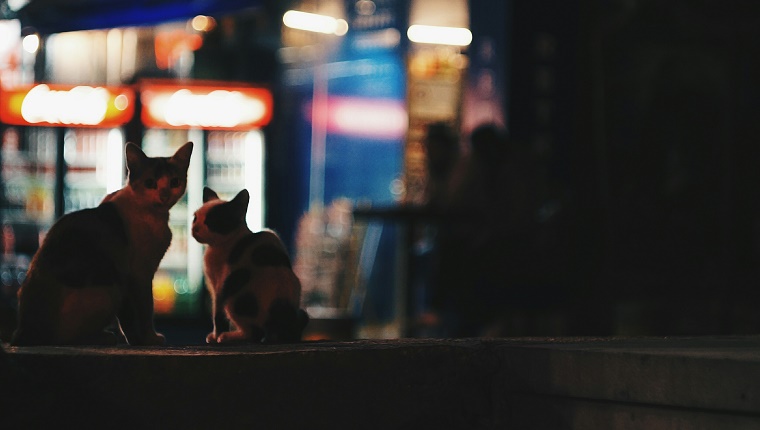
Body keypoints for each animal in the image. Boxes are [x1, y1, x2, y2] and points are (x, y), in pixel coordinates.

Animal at [10, 141, 193, 346]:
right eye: (150, 183)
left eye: (174, 182)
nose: (164, 195)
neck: (152, 214)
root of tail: (22, 331)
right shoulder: (138, 275)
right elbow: (144, 311)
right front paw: (148, 338)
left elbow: (126, 319)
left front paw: (130, 338)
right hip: (107, 291)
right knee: (67, 338)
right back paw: (102, 337)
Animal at [191, 186, 308, 344]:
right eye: (195, 218)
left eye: (211, 220)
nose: (195, 228)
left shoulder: (219, 287)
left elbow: (217, 315)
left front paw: (215, 336)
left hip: (233, 297)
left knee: (254, 334)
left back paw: (228, 337)